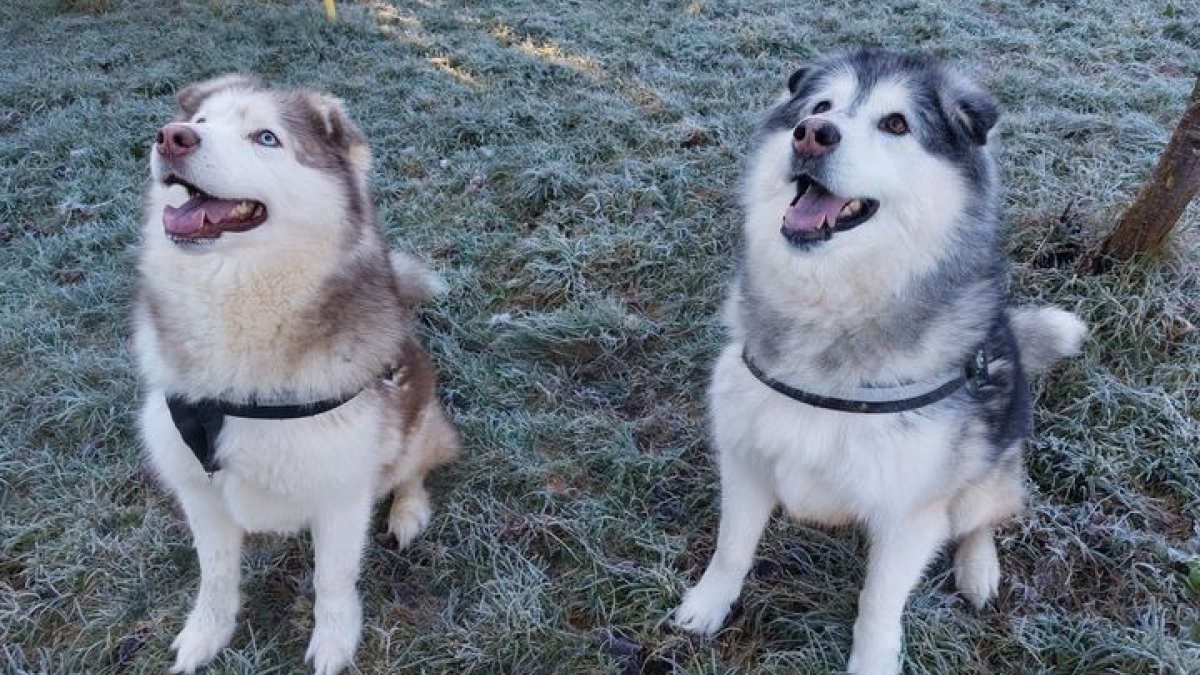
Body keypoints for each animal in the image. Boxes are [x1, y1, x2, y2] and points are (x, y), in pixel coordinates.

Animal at [136, 74, 458, 672]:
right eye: (201, 122)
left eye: (266, 138)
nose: (173, 137)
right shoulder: (197, 487)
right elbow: (215, 576)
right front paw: (206, 635)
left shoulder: (342, 493)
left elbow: (333, 580)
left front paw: (334, 643)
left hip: (416, 421)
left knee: (415, 467)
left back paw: (408, 510)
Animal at [676, 49, 1089, 667]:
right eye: (821, 106)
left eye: (896, 124)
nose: (812, 135)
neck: (831, 310)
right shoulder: (745, 455)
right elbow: (731, 549)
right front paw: (708, 605)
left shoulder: (910, 514)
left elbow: (879, 602)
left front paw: (871, 662)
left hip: (987, 469)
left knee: (983, 515)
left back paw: (978, 567)